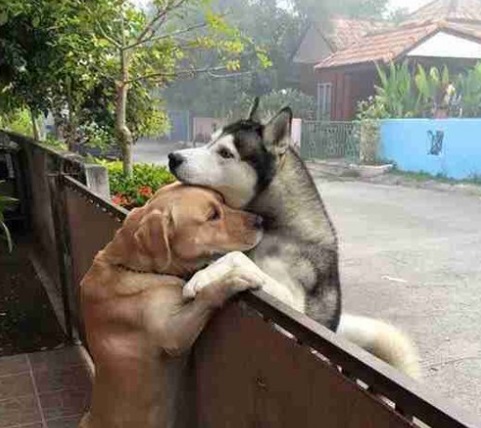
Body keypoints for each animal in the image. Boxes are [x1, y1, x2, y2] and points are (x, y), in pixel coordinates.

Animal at [79, 184, 266, 428]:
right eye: (212, 216)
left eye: (223, 201)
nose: (261, 220)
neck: (130, 266)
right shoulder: (174, 335)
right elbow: (207, 294)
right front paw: (233, 278)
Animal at [169, 99, 420, 378]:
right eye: (210, 140)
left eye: (225, 153)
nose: (173, 157)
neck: (278, 227)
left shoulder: (293, 306)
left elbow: (237, 257)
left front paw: (201, 278)